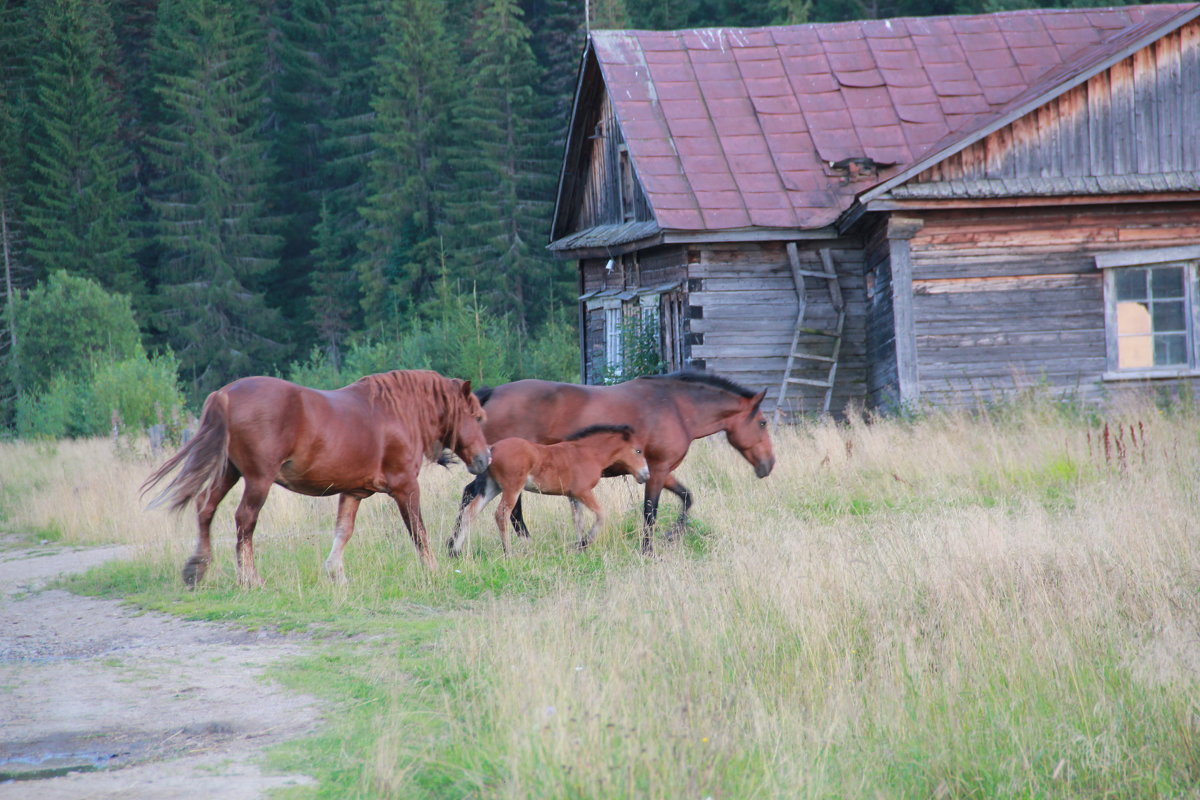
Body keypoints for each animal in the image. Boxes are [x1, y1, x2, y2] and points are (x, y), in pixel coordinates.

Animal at [142, 371, 489, 587]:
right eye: (476, 417)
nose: (486, 458)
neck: (397, 412)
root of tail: (224, 394)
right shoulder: (405, 488)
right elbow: (418, 531)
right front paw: (432, 570)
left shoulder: (353, 492)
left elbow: (343, 531)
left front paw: (336, 573)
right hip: (257, 480)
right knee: (244, 521)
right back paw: (250, 578)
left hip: (229, 471)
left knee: (206, 508)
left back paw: (197, 568)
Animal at [451, 424, 652, 556]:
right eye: (638, 451)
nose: (646, 475)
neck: (589, 453)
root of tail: (491, 449)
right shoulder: (583, 492)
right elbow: (601, 515)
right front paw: (585, 543)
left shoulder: (573, 496)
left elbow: (578, 521)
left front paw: (580, 548)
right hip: (512, 487)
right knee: (501, 514)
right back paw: (508, 553)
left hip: (493, 487)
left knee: (470, 511)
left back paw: (455, 551)